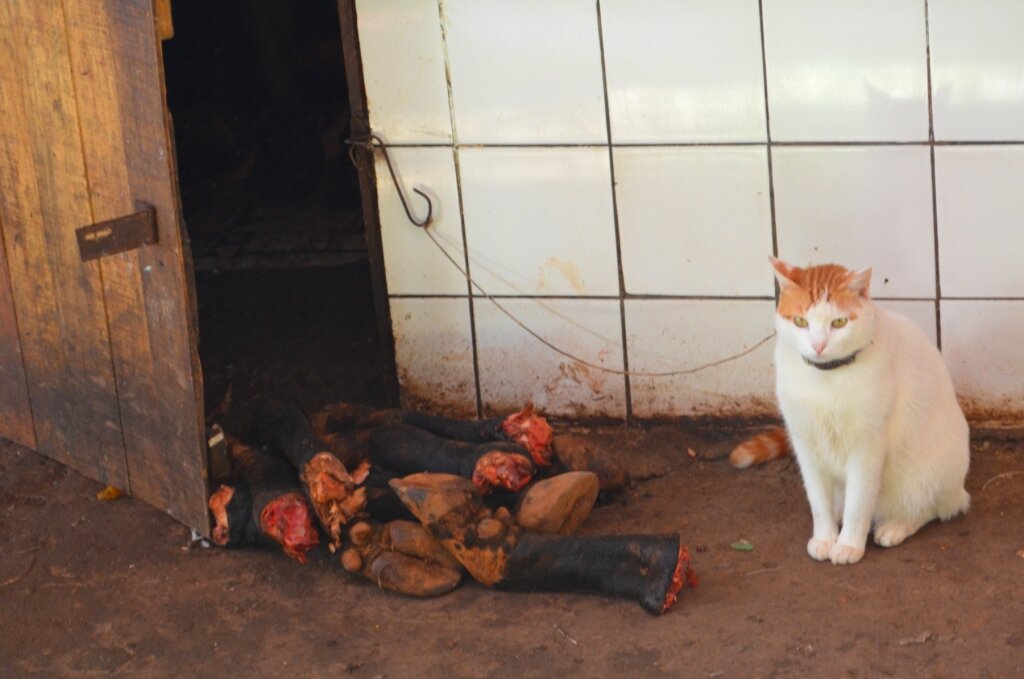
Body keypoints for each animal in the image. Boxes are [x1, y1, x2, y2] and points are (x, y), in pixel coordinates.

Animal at [729, 258, 966, 565]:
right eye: (801, 321)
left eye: (839, 322)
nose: (818, 345)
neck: (826, 377)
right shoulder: (806, 446)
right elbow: (818, 502)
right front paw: (824, 537)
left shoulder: (867, 449)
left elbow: (858, 502)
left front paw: (849, 544)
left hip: (928, 473)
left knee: (935, 507)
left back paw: (896, 525)